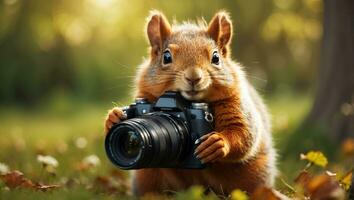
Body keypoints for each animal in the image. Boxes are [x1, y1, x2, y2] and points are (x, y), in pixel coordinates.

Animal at [103, 10, 278, 196]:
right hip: (146, 176)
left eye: (216, 57)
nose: (193, 77)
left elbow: (243, 132)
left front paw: (217, 143)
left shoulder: (236, 104)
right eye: (166, 56)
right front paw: (114, 116)